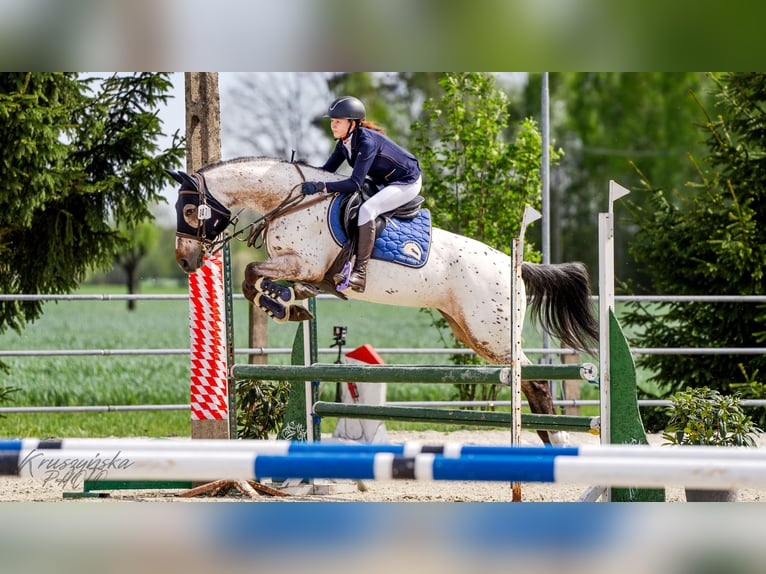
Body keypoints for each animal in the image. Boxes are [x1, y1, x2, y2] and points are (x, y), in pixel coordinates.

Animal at [171, 156, 604, 446]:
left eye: (190, 209)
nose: (185, 260)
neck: (291, 201)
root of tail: (516, 265)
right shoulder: (302, 269)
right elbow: (259, 281)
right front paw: (290, 304)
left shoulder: (304, 262)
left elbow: (251, 273)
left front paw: (282, 306)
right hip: (469, 330)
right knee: (527, 380)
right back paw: (548, 439)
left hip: (491, 334)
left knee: (534, 381)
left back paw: (556, 440)